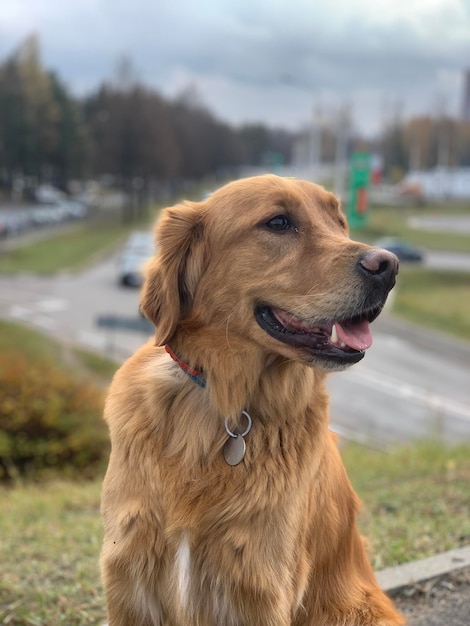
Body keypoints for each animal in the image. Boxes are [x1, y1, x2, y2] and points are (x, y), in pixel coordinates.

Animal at [102, 173, 404, 620]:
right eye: (278, 223)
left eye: (339, 222)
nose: (389, 265)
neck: (226, 402)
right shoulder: (129, 575)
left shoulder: (258, 583)